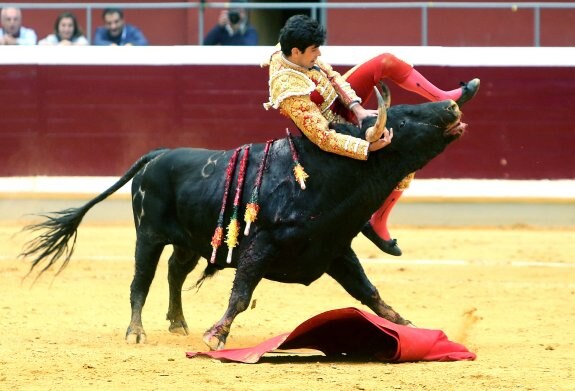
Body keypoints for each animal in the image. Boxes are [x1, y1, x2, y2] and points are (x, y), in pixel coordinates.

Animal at [20, 99, 466, 350]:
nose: (452, 107)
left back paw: (178, 322)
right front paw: (217, 335)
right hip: (148, 234)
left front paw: (406, 326)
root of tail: (159, 154)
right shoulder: (261, 247)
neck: (328, 173)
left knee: (175, 272)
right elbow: (240, 293)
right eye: (404, 120)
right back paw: (136, 332)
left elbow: (370, 292)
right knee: (140, 281)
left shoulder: (336, 250)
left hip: (188, 240)